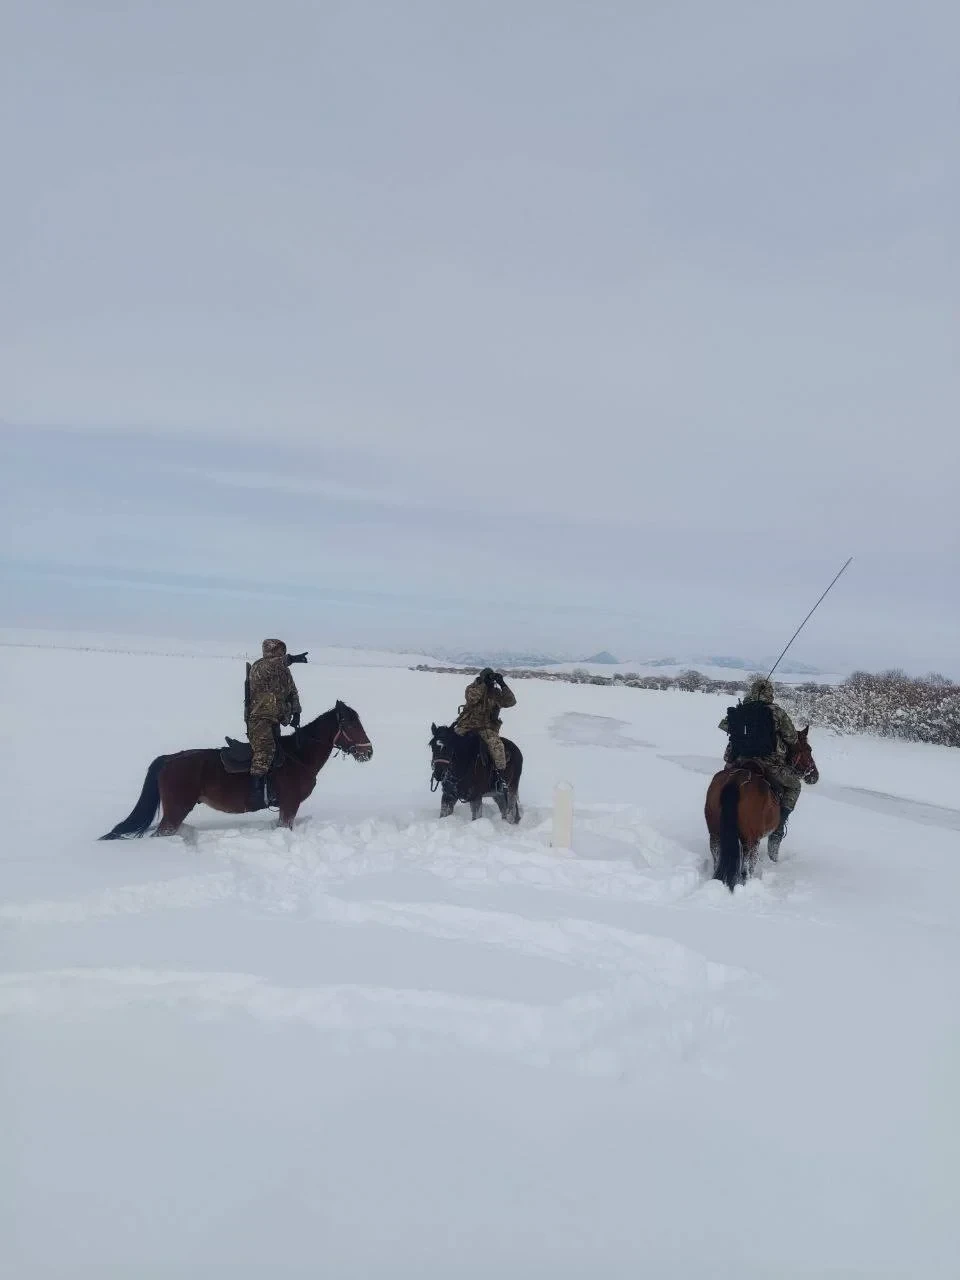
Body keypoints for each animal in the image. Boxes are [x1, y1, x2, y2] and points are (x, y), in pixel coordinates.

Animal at [100, 702, 373, 839]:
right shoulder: (290, 804)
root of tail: (170, 759)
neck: (298, 756)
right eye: (351, 725)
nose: (368, 751)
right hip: (175, 811)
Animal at [704, 727, 819, 890]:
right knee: (747, 869)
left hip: (715, 834)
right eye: (808, 749)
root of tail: (735, 781)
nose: (814, 775)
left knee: (717, 859)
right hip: (752, 841)